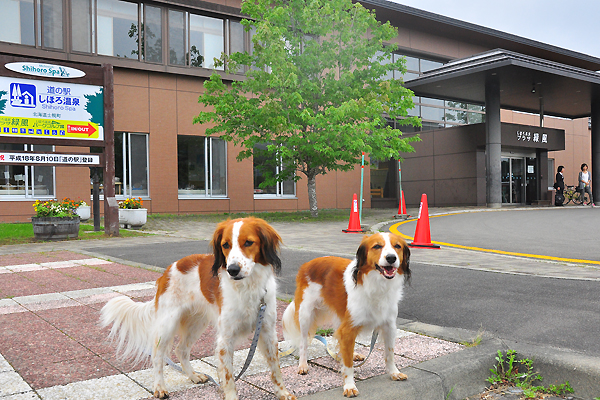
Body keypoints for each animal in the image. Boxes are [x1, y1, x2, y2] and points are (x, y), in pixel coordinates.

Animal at [101, 219, 298, 400]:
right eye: (225, 245)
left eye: (248, 242)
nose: (232, 270)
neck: (248, 287)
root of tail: (167, 271)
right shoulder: (225, 339)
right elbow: (229, 377)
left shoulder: (267, 331)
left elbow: (275, 368)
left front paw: (282, 393)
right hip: (168, 323)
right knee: (157, 354)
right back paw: (159, 387)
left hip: (196, 322)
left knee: (181, 350)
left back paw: (193, 376)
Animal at [284, 231, 410, 396]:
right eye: (377, 246)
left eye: (397, 246)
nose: (391, 258)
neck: (377, 284)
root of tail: (307, 264)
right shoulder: (349, 329)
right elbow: (348, 364)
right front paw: (349, 385)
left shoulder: (389, 326)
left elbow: (390, 354)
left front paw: (394, 372)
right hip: (306, 315)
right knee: (303, 342)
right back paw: (303, 365)